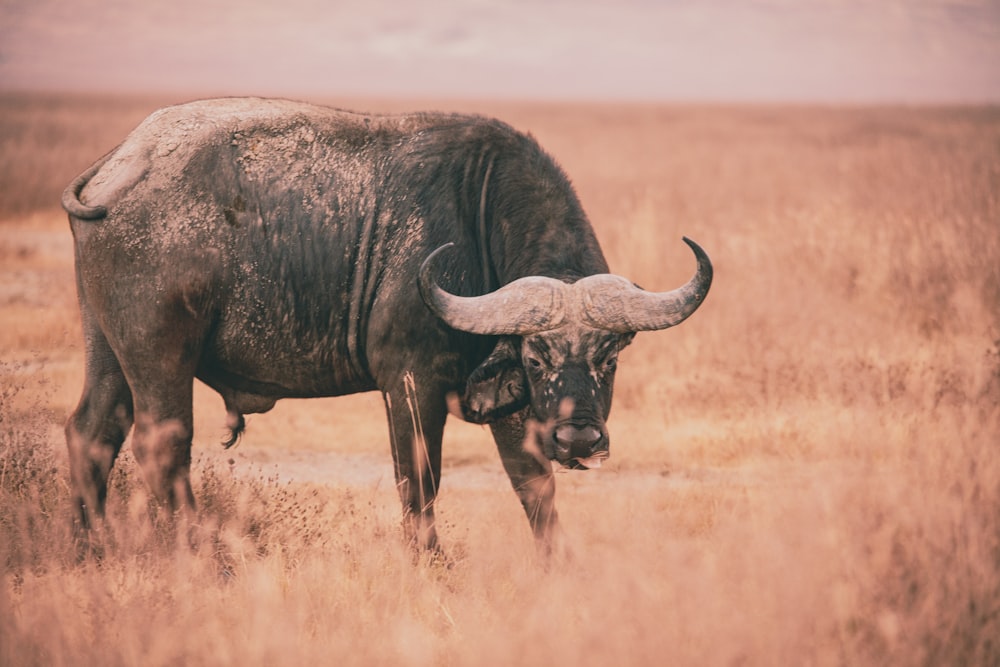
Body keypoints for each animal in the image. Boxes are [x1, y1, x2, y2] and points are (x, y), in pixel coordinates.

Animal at [62, 98, 712, 552]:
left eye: (610, 357)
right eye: (536, 358)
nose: (579, 440)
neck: (478, 222)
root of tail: (124, 161)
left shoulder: (514, 409)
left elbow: (534, 488)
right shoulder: (409, 384)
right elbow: (419, 484)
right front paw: (430, 565)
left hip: (107, 346)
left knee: (92, 431)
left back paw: (90, 549)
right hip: (159, 355)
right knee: (161, 447)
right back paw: (196, 555)